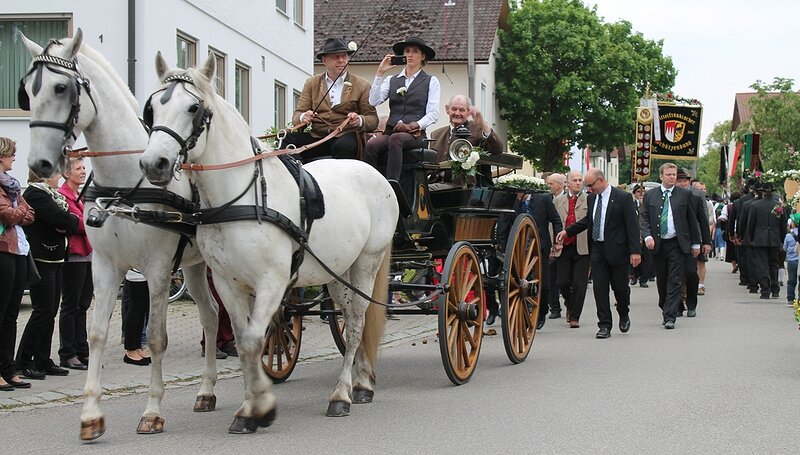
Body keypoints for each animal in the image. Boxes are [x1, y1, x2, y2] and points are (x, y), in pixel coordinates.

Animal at [21, 29, 222, 442]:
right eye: (28, 91)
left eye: (62, 87)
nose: (40, 164)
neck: (127, 183)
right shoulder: (104, 267)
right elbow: (97, 332)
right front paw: (91, 415)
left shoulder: (158, 269)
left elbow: (157, 337)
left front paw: (152, 411)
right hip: (195, 266)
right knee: (210, 317)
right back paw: (206, 390)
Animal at [141, 53, 396, 434]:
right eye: (153, 108)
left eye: (193, 108)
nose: (152, 163)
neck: (239, 197)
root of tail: (377, 176)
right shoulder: (228, 284)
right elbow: (245, 341)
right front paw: (250, 406)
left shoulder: (272, 281)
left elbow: (251, 341)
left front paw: (259, 408)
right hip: (337, 273)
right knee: (352, 320)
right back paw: (362, 382)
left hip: (367, 262)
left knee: (356, 323)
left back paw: (341, 395)